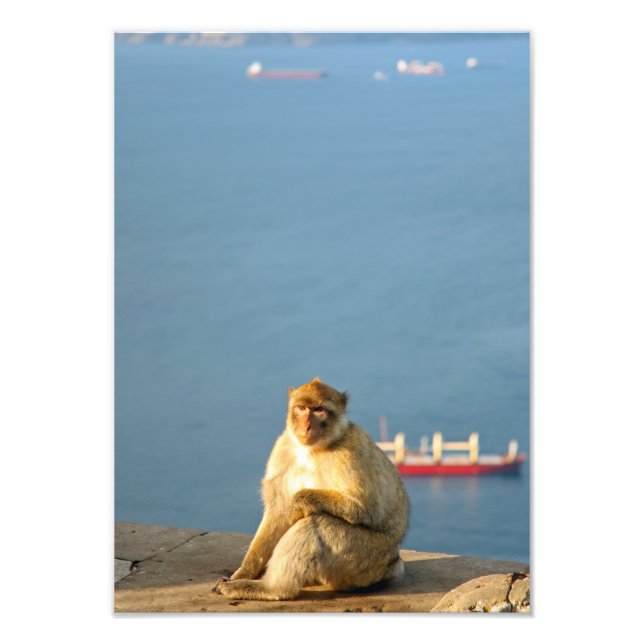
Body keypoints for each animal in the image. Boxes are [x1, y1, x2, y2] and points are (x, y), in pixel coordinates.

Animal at [214, 377, 409, 601]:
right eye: (302, 408)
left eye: (319, 410)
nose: (306, 426)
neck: (312, 449)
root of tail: (393, 563)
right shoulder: (282, 447)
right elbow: (277, 512)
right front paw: (244, 572)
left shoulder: (349, 451)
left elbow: (366, 508)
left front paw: (299, 500)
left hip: (367, 557)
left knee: (316, 524)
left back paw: (273, 588)